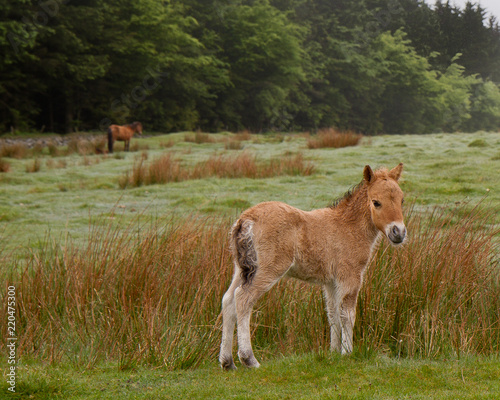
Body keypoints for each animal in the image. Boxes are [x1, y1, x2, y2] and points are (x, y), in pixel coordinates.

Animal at [219, 162, 406, 368]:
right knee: (243, 298)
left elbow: (333, 314)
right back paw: (249, 359)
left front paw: (334, 352)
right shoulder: (350, 275)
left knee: (228, 300)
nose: (398, 232)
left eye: (402, 200)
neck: (349, 227)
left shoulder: (331, 282)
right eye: (376, 202)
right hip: (267, 270)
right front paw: (347, 353)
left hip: (241, 269)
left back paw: (227, 362)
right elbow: (348, 314)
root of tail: (246, 219)